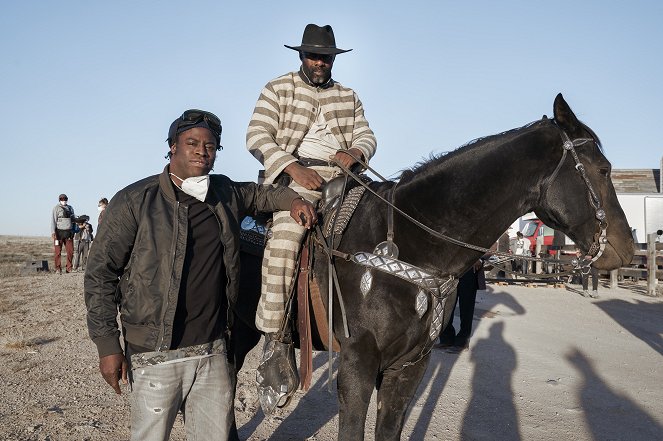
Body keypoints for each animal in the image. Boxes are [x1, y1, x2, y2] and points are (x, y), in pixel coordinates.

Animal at [231, 94, 636, 438]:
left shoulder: (409, 365)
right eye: (603, 168)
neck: (411, 241)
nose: (626, 248)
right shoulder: (357, 364)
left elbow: (389, 430)